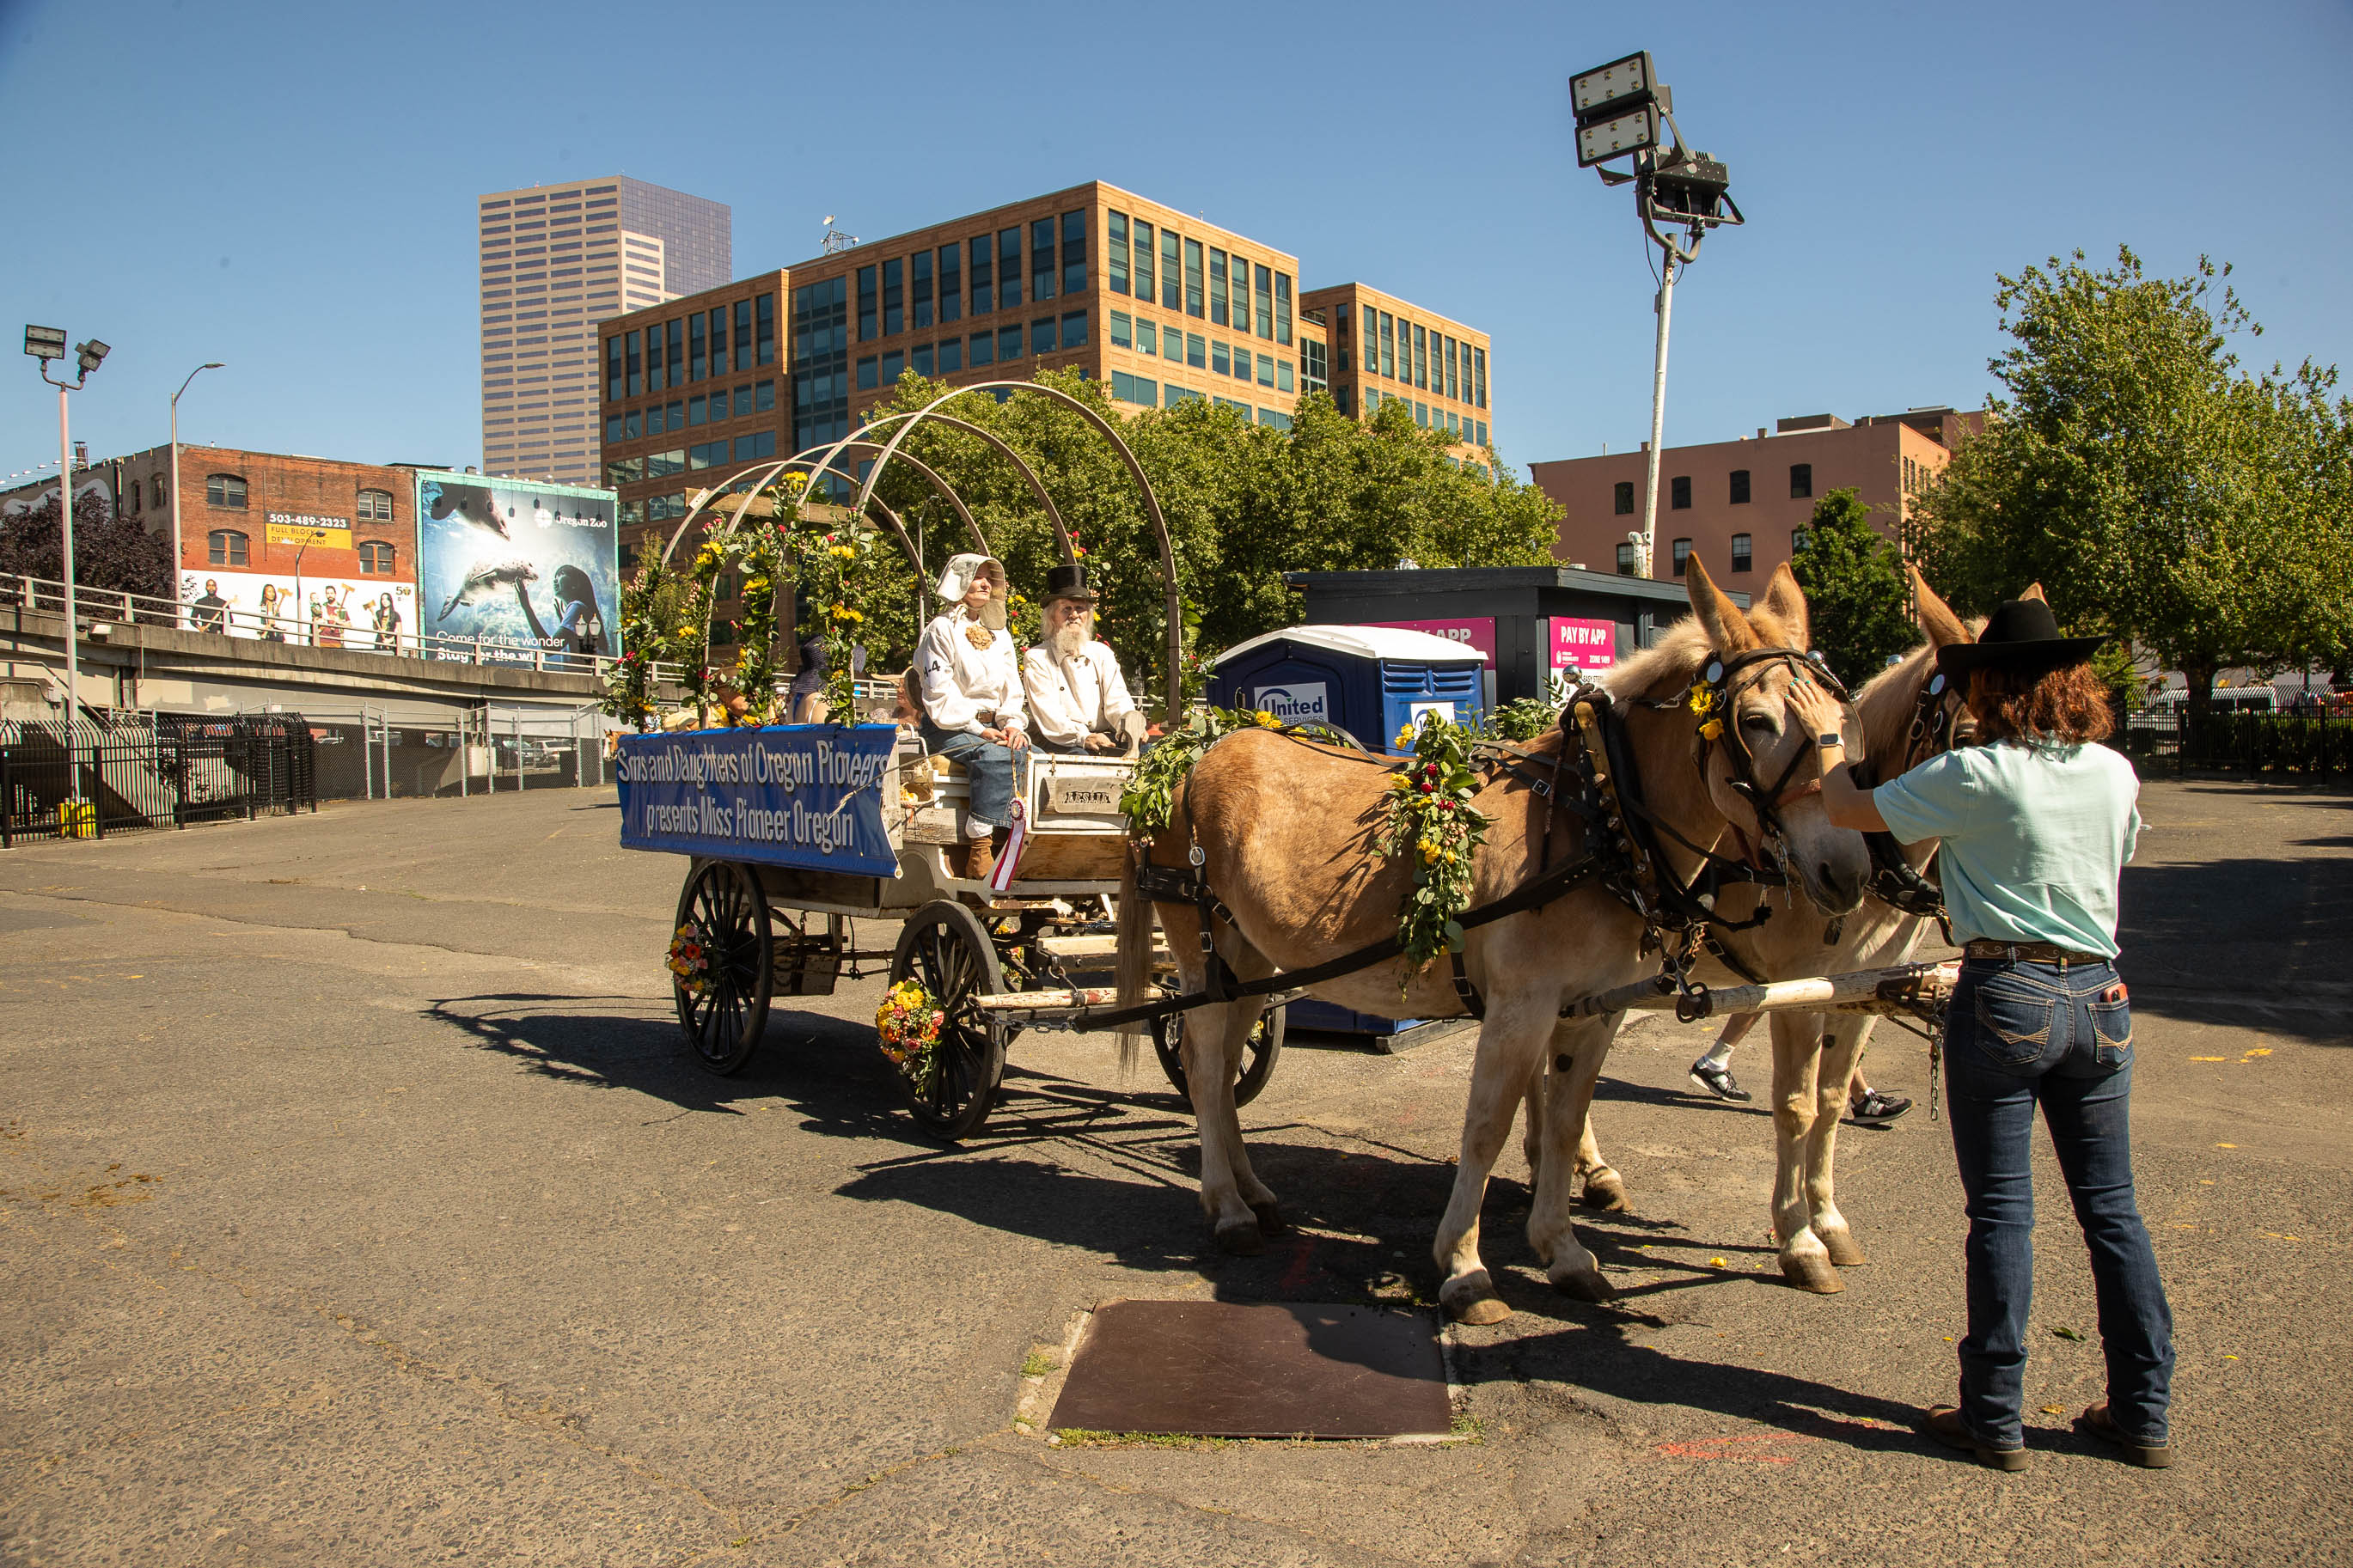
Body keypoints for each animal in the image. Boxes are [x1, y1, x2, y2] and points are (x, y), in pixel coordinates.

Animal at [1116, 560, 1872, 1324]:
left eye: (1843, 718)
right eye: (1755, 721)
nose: (1849, 870)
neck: (1597, 814)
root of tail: (1190, 757)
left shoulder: (1594, 1008)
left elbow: (1565, 1122)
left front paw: (1564, 1251)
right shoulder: (1521, 1004)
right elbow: (1488, 1125)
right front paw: (1465, 1266)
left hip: (1250, 961)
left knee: (1226, 1065)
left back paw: (1253, 1192)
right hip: (1202, 951)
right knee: (1204, 1069)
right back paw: (1228, 1208)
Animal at [1535, 566, 1979, 1294]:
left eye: (1848, 725)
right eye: (1968, 736)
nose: (1842, 871)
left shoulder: (1861, 990)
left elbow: (1831, 1099)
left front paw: (1829, 1219)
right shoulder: (1798, 989)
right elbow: (1797, 1105)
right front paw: (1798, 1238)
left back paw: (1578, 1166)